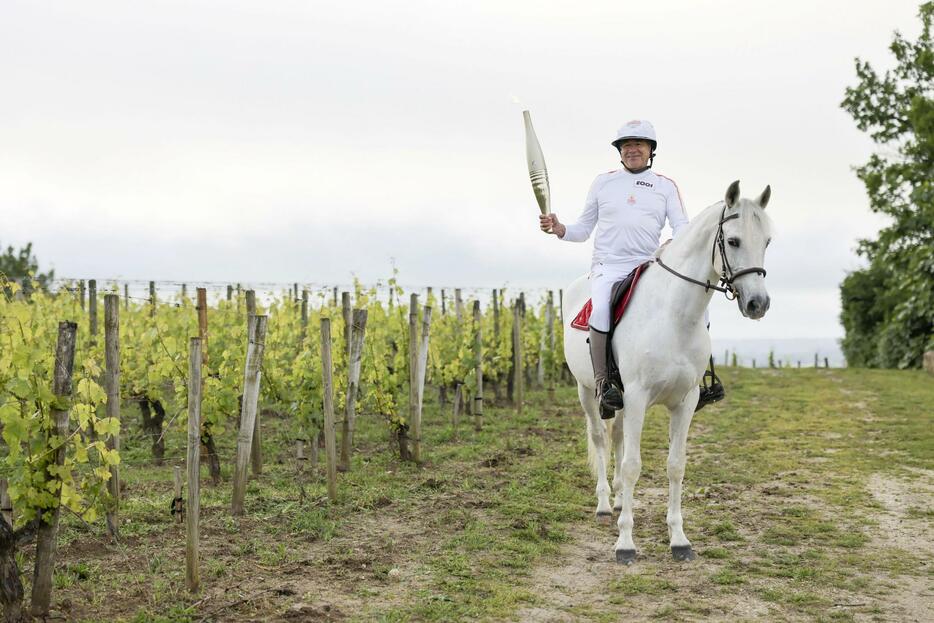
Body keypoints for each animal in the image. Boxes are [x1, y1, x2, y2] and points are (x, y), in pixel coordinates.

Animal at [564, 180, 776, 564]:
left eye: (766, 241)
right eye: (733, 240)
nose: (758, 304)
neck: (673, 314)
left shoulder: (685, 401)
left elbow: (675, 465)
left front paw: (679, 539)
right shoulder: (636, 397)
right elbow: (633, 465)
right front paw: (625, 544)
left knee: (617, 439)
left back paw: (620, 500)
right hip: (587, 391)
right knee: (600, 439)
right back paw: (604, 504)